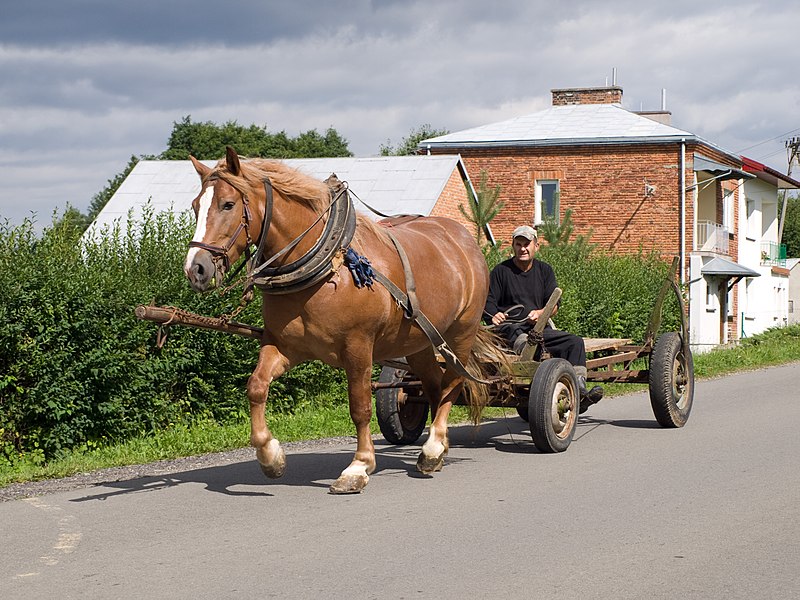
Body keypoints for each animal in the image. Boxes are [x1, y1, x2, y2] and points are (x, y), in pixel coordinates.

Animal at [184, 146, 490, 492]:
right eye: (195, 206)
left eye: (228, 204)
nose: (195, 269)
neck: (327, 266)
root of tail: (463, 239)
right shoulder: (285, 345)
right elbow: (257, 386)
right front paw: (270, 456)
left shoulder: (358, 347)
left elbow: (359, 406)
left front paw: (358, 466)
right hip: (420, 342)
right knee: (435, 386)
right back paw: (434, 452)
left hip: (460, 333)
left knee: (452, 383)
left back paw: (435, 444)